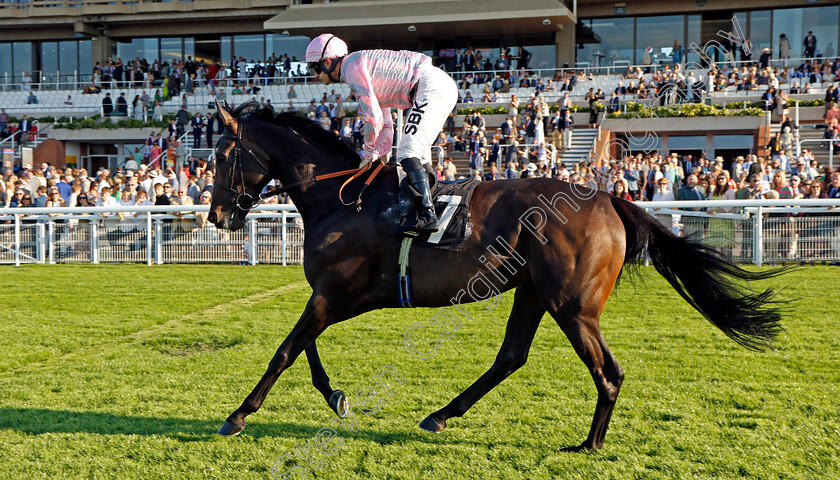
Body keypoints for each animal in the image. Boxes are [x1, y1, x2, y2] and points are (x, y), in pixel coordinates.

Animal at [207, 103, 784, 452]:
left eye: (221, 154)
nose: (217, 216)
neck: (340, 197)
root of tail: (609, 198)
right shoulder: (331, 295)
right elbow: (304, 348)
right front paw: (335, 396)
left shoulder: (335, 295)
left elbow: (285, 349)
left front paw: (237, 415)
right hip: (532, 292)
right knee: (512, 356)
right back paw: (443, 414)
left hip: (572, 305)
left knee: (608, 372)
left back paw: (589, 443)